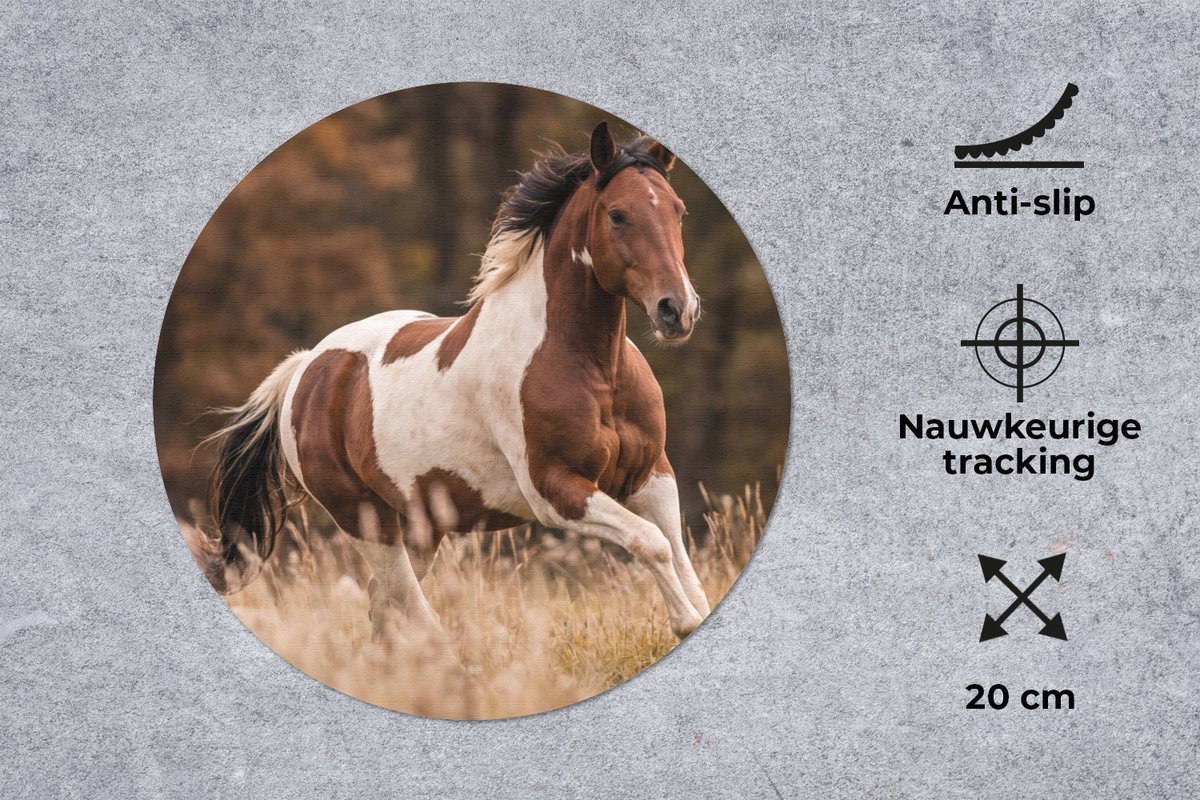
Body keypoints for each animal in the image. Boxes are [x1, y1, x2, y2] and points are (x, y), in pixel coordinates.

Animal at [200, 122, 710, 641]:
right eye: (617, 214)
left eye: (678, 211)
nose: (677, 310)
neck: (593, 369)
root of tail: (306, 368)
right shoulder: (555, 491)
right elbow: (652, 543)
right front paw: (684, 623)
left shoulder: (651, 476)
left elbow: (680, 557)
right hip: (364, 518)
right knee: (409, 607)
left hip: (422, 525)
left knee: (385, 606)